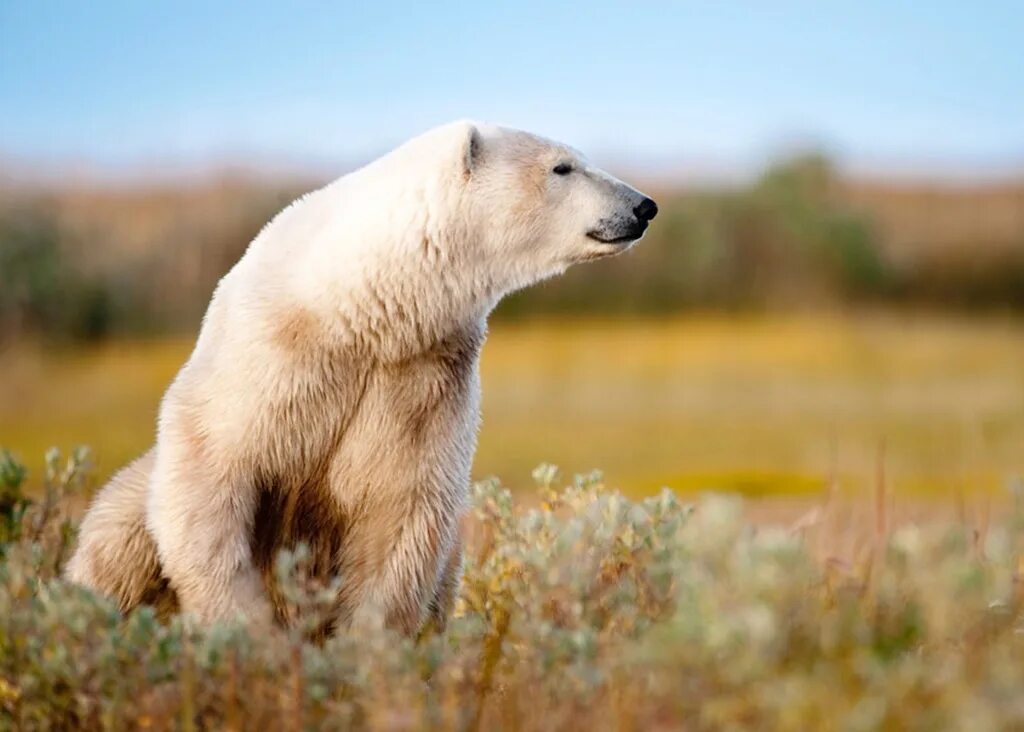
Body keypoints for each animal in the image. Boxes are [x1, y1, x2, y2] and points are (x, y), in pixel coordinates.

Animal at [66, 120, 655, 634]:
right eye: (563, 166)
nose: (643, 205)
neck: (362, 307)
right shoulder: (272, 357)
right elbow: (210, 469)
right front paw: (247, 627)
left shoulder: (423, 378)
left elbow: (401, 512)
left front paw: (365, 644)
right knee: (116, 544)